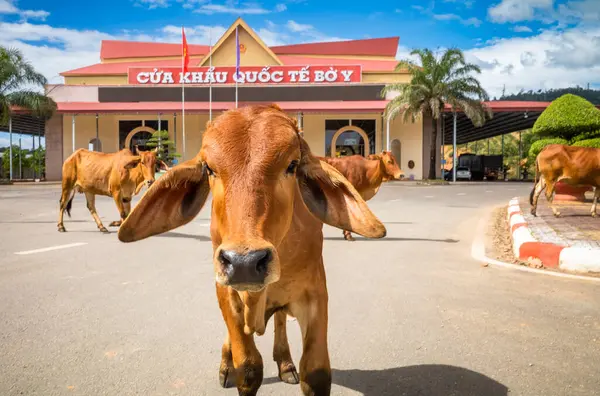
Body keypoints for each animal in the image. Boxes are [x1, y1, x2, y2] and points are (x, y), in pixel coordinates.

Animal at [118, 105, 384, 396]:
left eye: (292, 165)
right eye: (209, 169)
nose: (244, 262)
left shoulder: (314, 293)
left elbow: (316, 372)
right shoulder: (227, 291)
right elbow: (248, 366)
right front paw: (232, 366)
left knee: (280, 319)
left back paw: (285, 363)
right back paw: (226, 366)